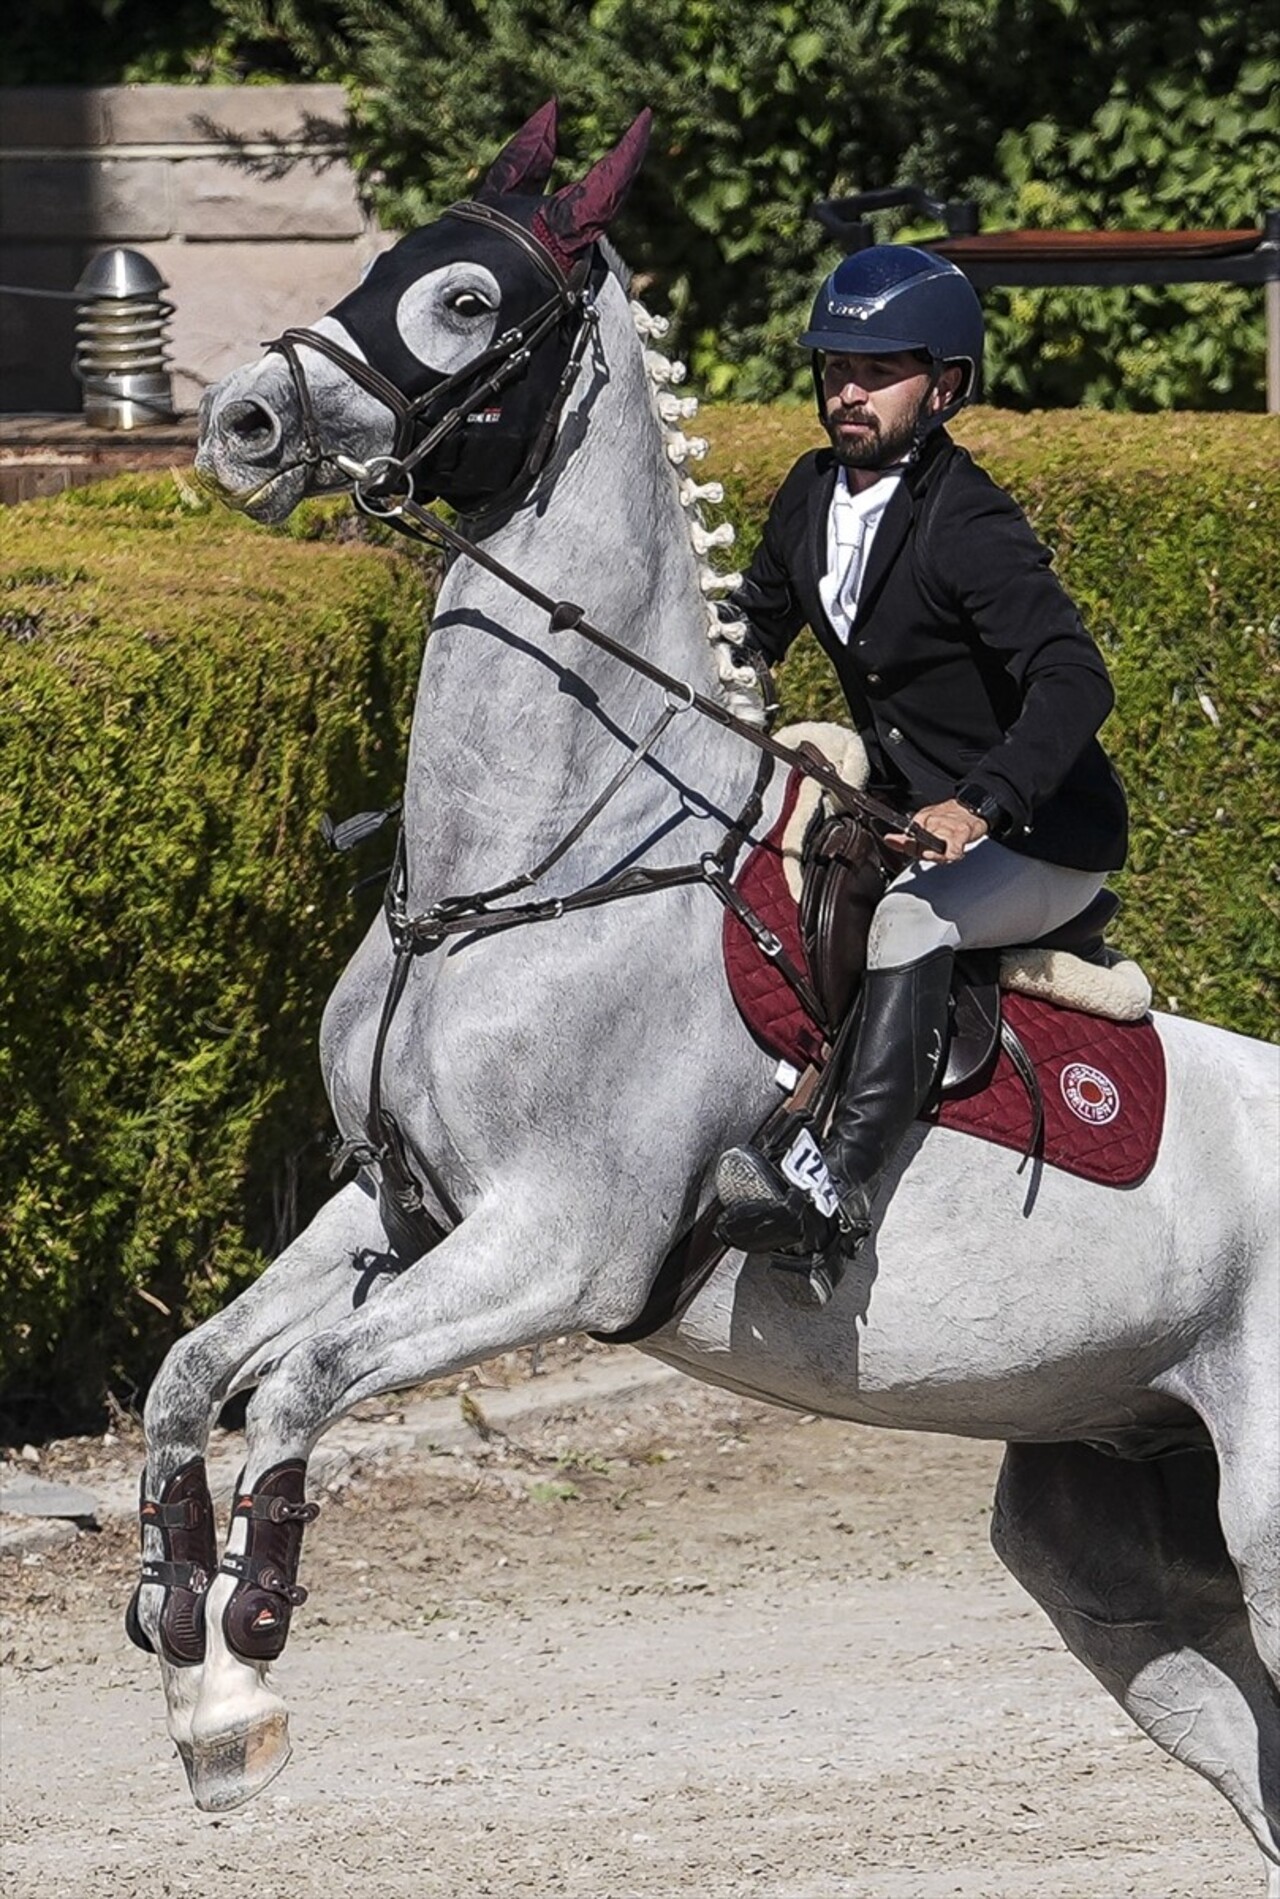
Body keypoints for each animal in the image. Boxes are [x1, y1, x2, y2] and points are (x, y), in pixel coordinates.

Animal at [129, 111, 1276, 1891]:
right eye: (382, 257)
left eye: (465, 299)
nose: (241, 419)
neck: (523, 875)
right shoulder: (391, 1209)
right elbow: (193, 1375)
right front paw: (183, 1658)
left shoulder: (557, 1247)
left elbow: (302, 1387)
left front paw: (243, 1675)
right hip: (1115, 1540)